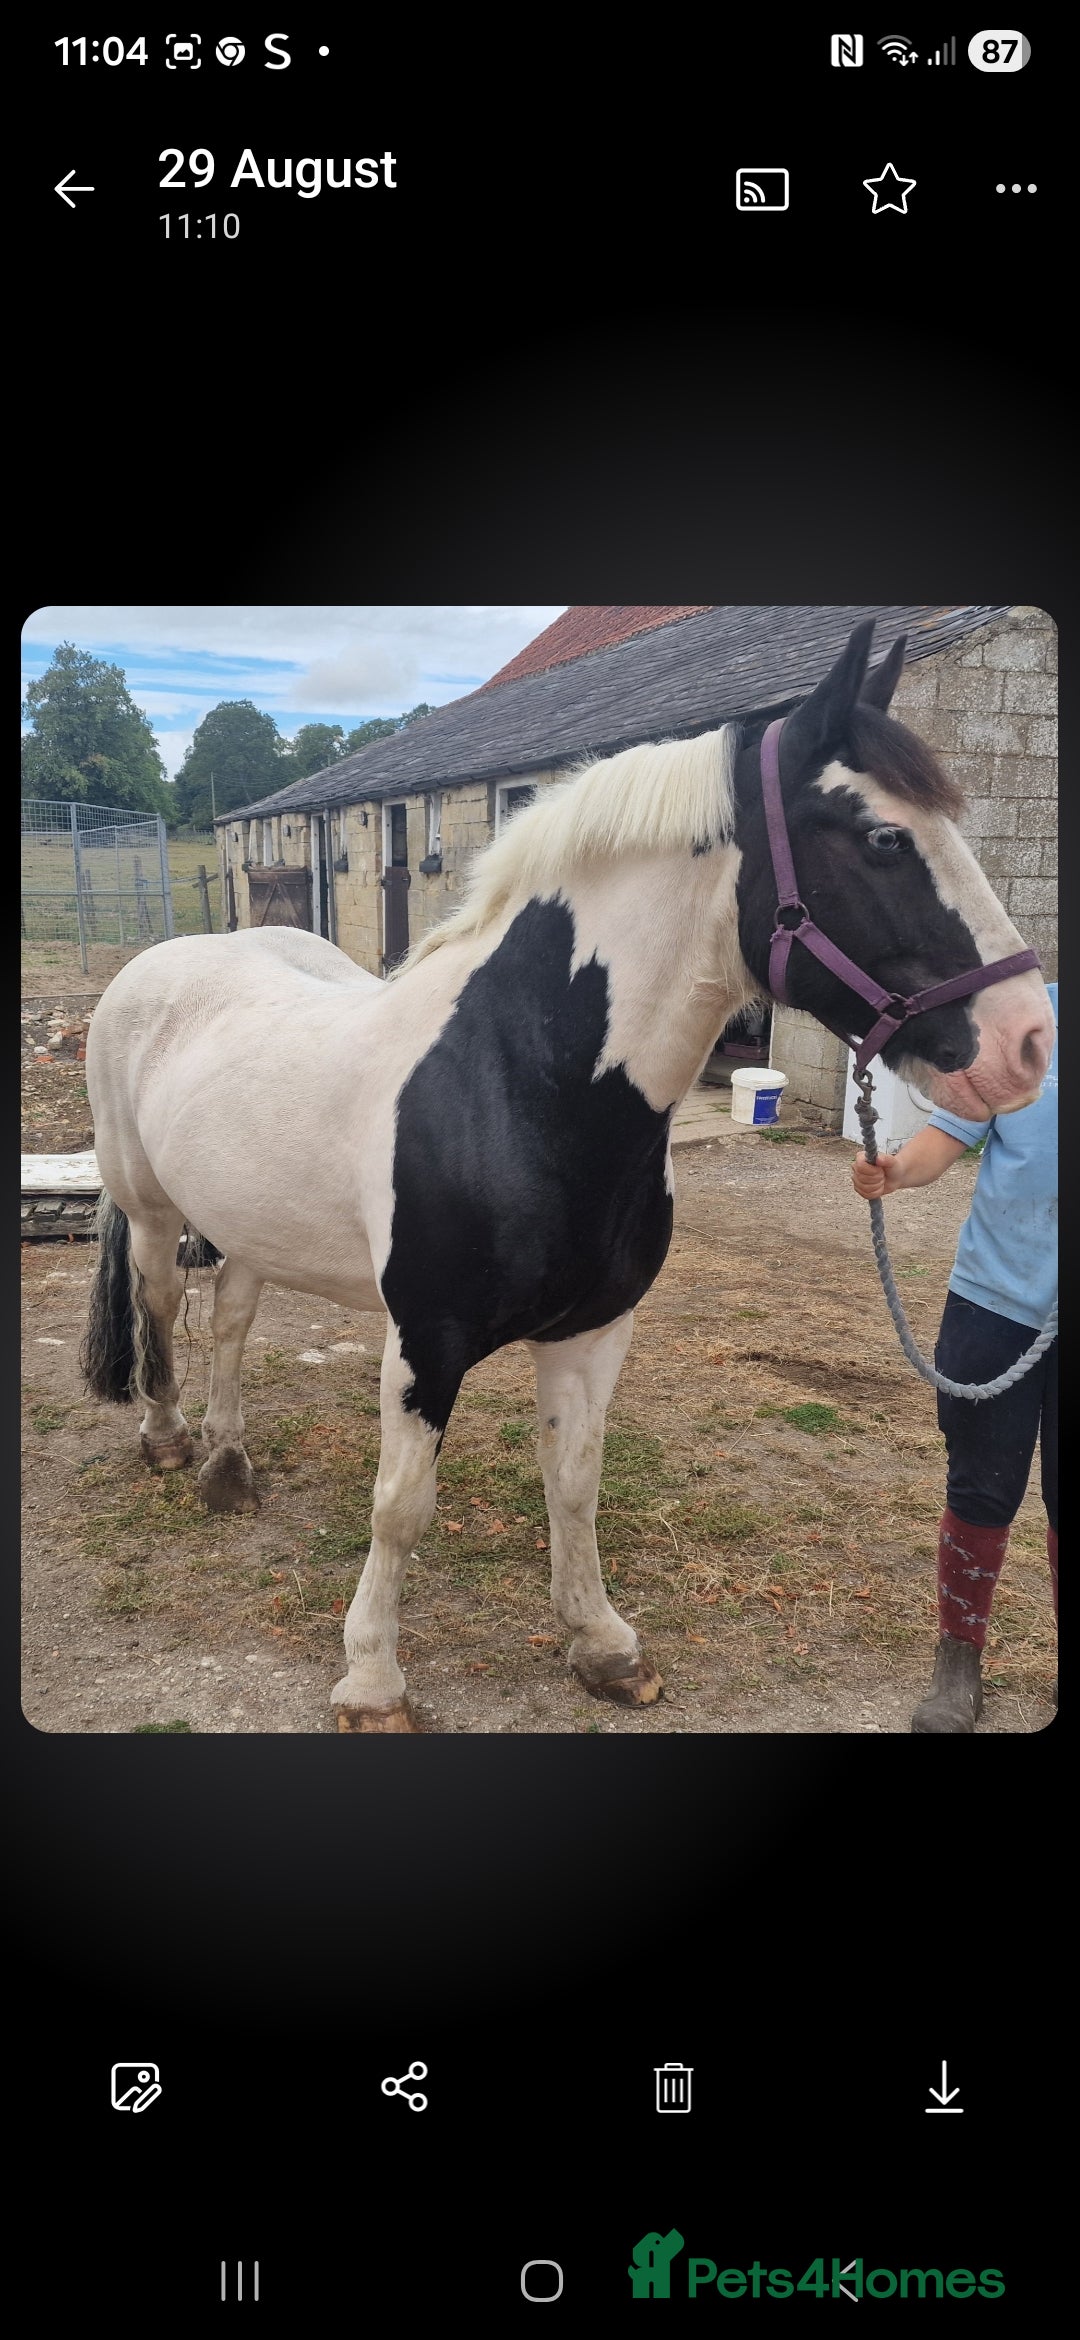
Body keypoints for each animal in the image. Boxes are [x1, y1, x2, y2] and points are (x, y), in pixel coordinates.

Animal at [80, 621, 1054, 1732]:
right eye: (884, 839)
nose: (1028, 1043)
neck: (516, 1081)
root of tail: (165, 963)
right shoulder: (426, 1340)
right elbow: (401, 1505)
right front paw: (372, 1678)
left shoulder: (595, 1330)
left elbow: (577, 1483)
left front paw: (603, 1643)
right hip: (153, 1212)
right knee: (163, 1310)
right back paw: (167, 1442)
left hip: (250, 1219)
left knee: (236, 1321)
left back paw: (228, 1460)